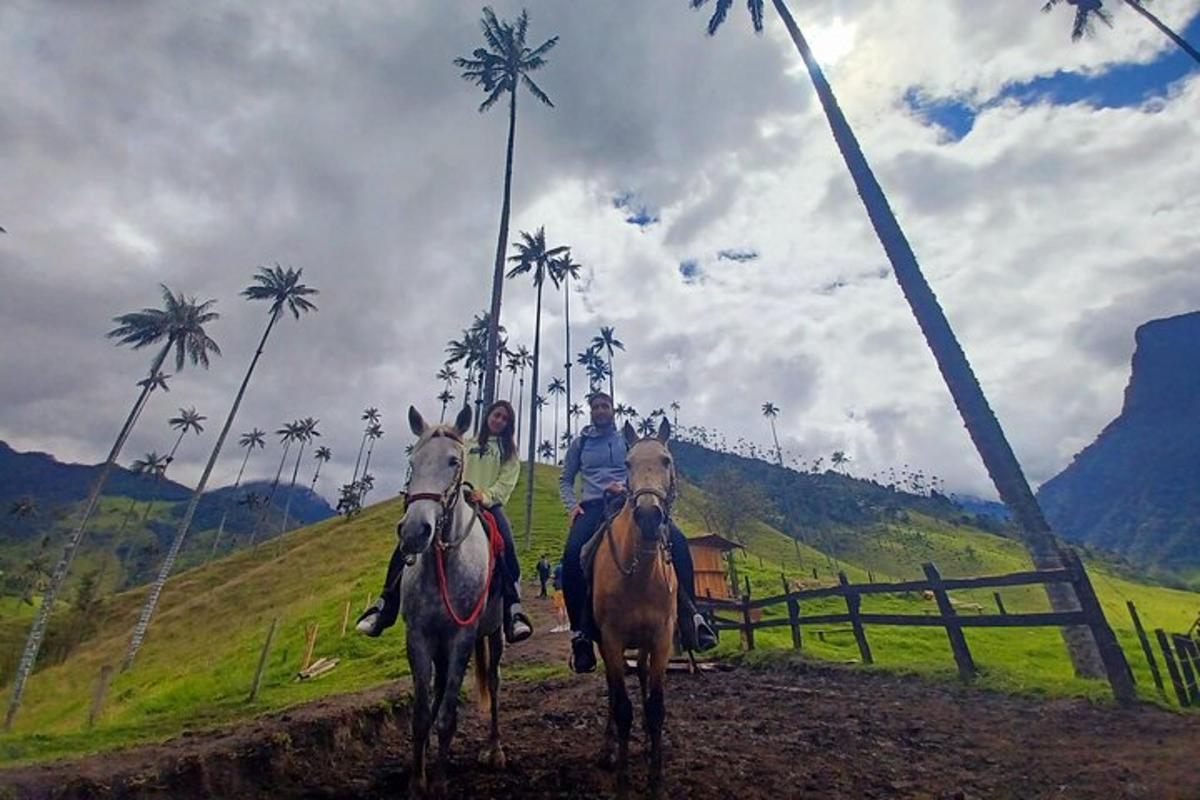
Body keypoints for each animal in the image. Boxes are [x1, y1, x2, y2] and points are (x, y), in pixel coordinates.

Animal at [396, 410, 504, 796]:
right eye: (412, 462)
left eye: (453, 461)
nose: (414, 532)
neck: (443, 562)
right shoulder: (418, 636)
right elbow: (421, 714)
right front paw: (417, 780)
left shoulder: (462, 638)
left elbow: (445, 717)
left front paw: (440, 782)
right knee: (439, 687)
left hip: (492, 633)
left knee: (494, 681)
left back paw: (494, 749)